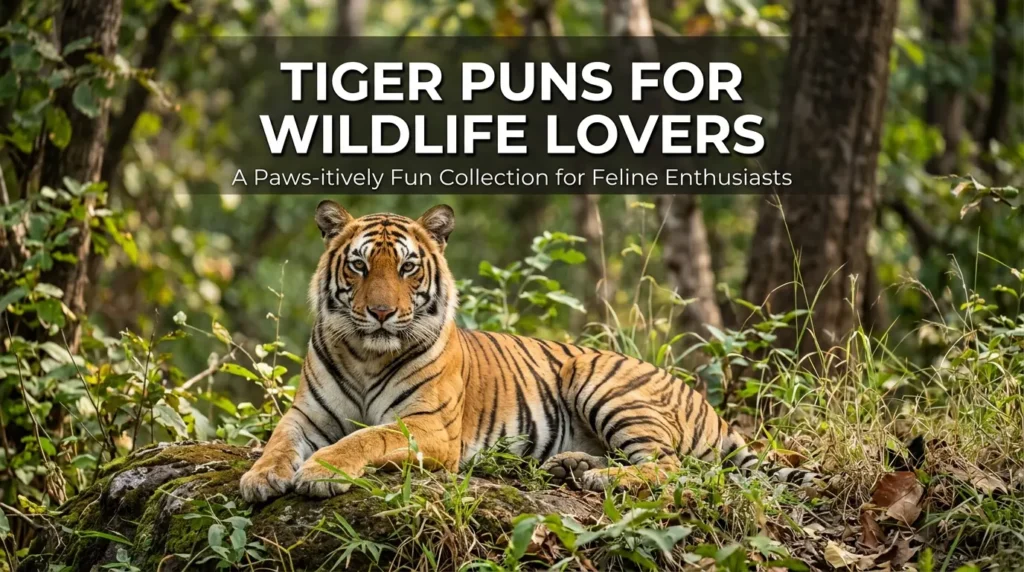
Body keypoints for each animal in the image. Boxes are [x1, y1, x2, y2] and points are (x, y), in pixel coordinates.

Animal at [239, 201, 819, 502]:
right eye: (359, 266)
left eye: (407, 268)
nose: (381, 313)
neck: (367, 353)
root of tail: (706, 404)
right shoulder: (306, 415)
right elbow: (278, 440)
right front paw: (261, 477)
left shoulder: (429, 426)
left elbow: (365, 437)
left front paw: (321, 471)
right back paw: (570, 465)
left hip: (601, 383)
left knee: (670, 466)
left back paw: (600, 477)